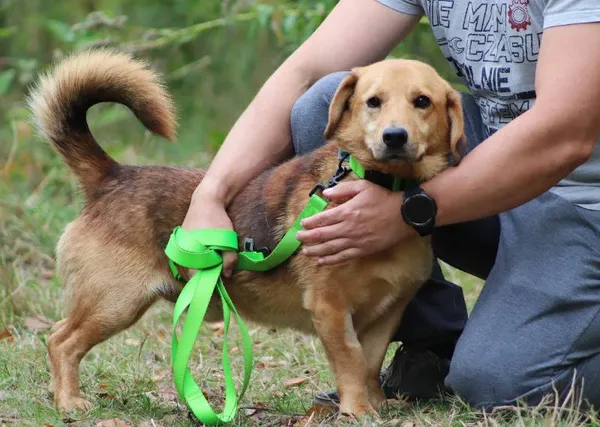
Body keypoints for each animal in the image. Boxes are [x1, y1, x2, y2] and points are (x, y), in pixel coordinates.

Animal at [29, 51, 464, 422]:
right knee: (60, 341)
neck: (381, 188)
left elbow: (369, 364)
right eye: (373, 102)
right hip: (114, 303)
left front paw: (375, 404)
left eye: (422, 101)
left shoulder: (386, 314)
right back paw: (69, 402)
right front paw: (357, 409)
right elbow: (351, 361)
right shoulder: (330, 308)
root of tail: (113, 176)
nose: (395, 136)